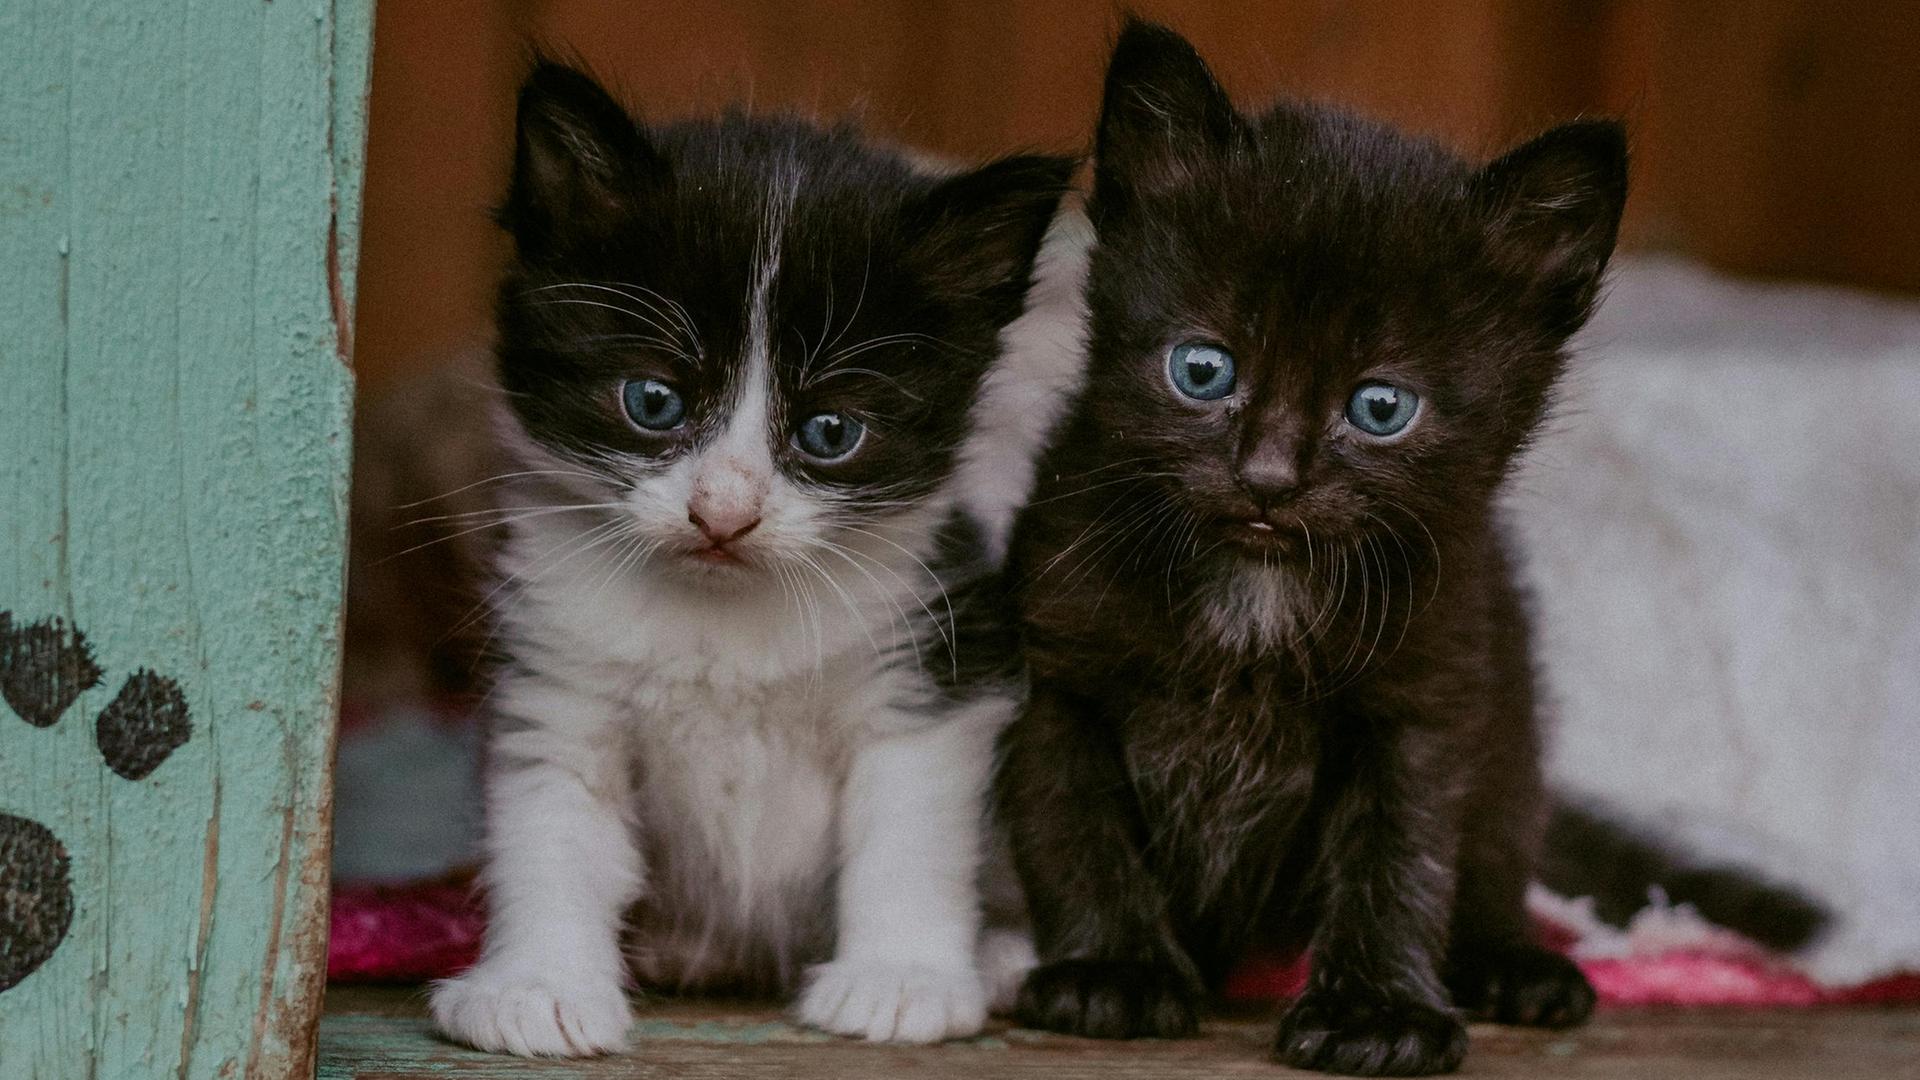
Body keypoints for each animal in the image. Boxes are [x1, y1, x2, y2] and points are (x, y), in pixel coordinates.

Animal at [426, 61, 1075, 1053]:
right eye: (652, 400)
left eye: (831, 432)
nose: (722, 513)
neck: (722, 617)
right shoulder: (558, 677)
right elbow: (551, 826)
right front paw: (536, 985)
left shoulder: (933, 657)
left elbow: (910, 830)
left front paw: (902, 978)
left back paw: (1002, 954)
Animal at [998, 21, 1628, 1068]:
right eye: (1202, 369)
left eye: (1380, 407)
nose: (1268, 477)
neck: (1257, 591)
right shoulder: (1059, 673)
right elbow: (1072, 824)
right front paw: (1112, 970)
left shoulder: (1425, 697)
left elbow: (1398, 856)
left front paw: (1377, 1011)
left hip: (1511, 720)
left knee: (1496, 846)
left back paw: (1510, 963)